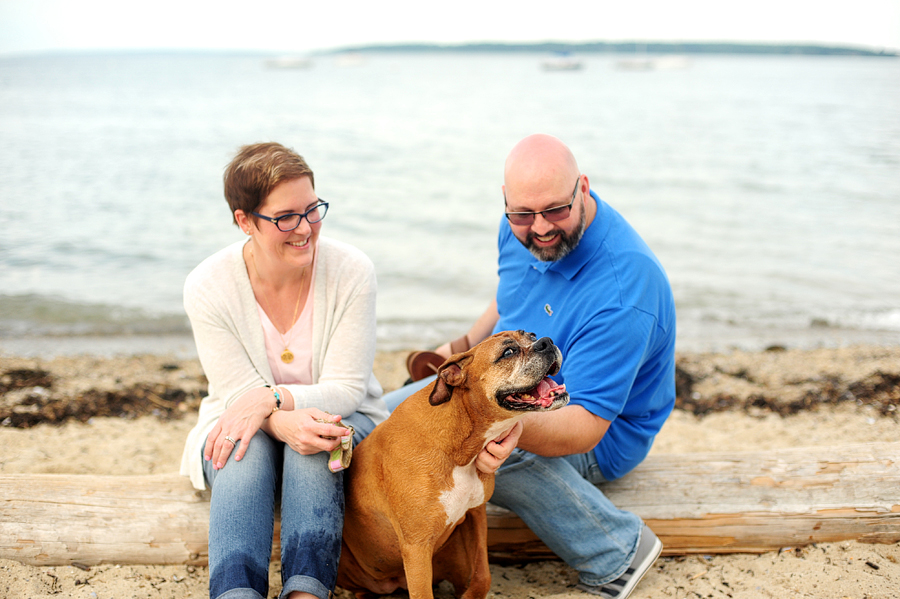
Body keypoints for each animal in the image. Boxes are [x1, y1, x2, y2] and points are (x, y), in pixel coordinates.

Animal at [338, 330, 568, 599]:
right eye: (508, 352)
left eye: (531, 335)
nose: (546, 342)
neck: (459, 446)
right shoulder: (417, 547)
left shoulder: (476, 515)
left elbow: (483, 575)